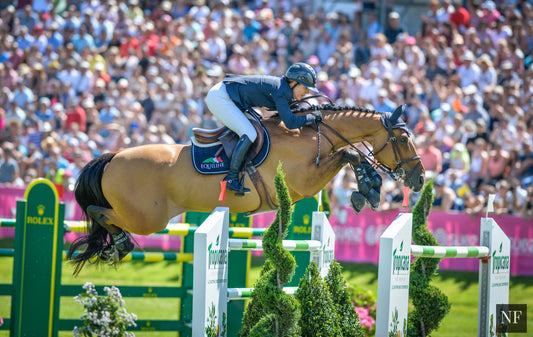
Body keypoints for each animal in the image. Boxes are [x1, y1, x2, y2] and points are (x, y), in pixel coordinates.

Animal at [67, 103, 424, 272]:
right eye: (402, 139)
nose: (420, 177)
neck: (309, 134)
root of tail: (113, 158)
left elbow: (349, 153)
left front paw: (368, 188)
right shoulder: (303, 182)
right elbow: (349, 153)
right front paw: (368, 188)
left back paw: (115, 246)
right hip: (147, 218)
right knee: (98, 211)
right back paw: (119, 245)